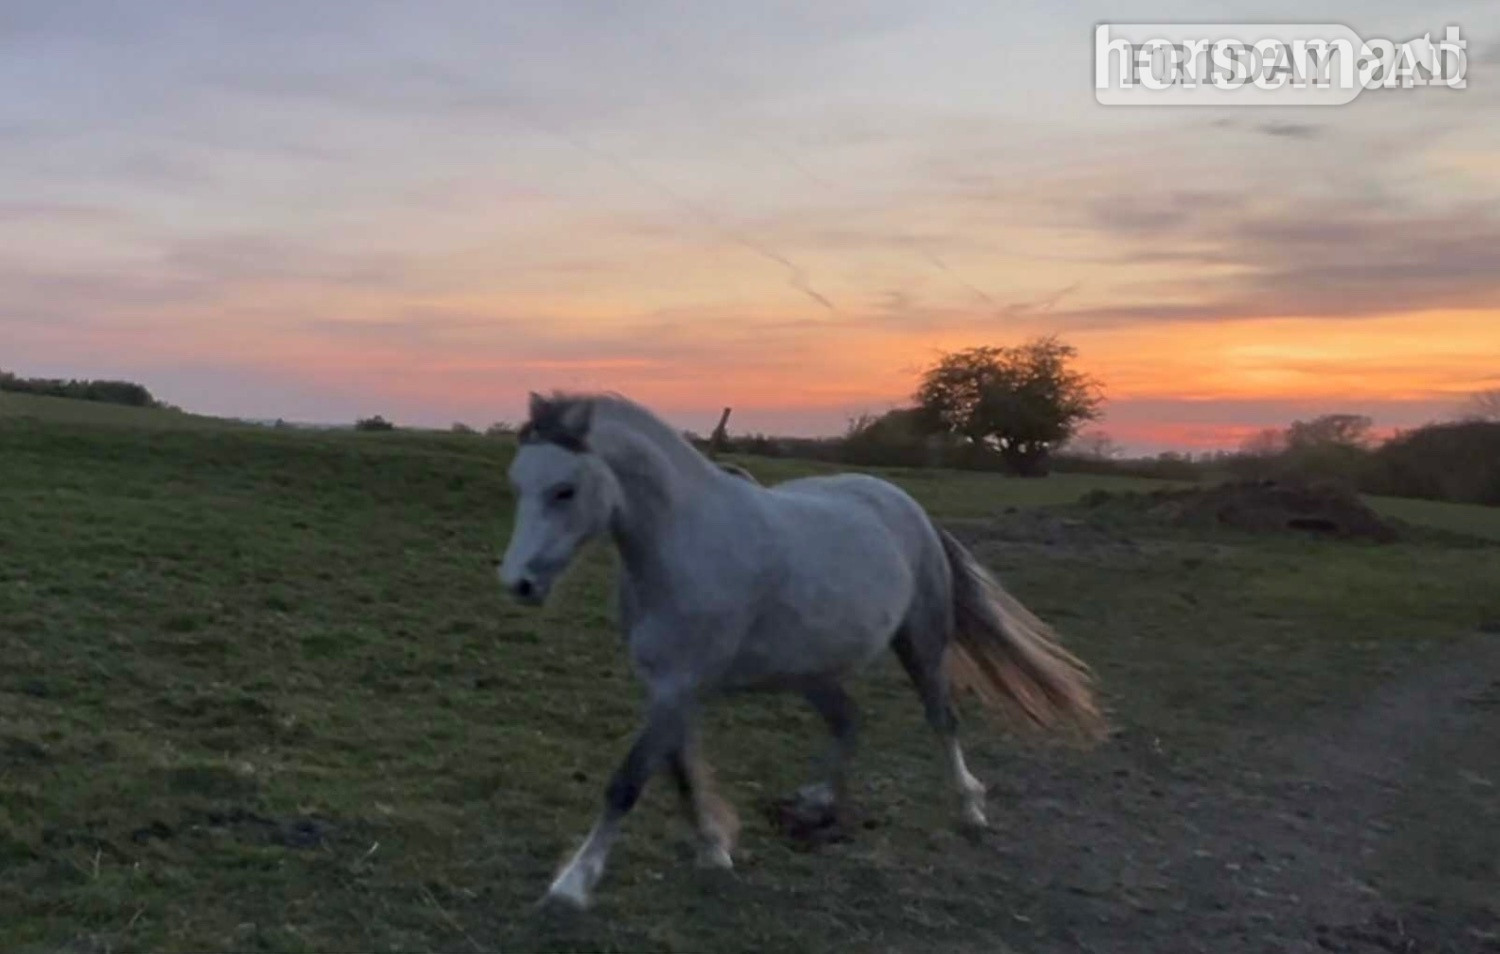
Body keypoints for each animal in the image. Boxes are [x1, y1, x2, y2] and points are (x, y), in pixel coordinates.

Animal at [496, 392, 1105, 909]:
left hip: (922, 642)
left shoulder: (679, 685)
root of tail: (910, 508)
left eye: (564, 489)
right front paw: (715, 849)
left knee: (942, 719)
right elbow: (680, 771)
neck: (684, 545)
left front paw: (572, 885)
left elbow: (627, 782)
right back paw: (815, 805)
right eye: (517, 484)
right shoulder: (668, 687)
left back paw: (971, 809)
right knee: (849, 720)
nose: (519, 584)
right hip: (812, 672)